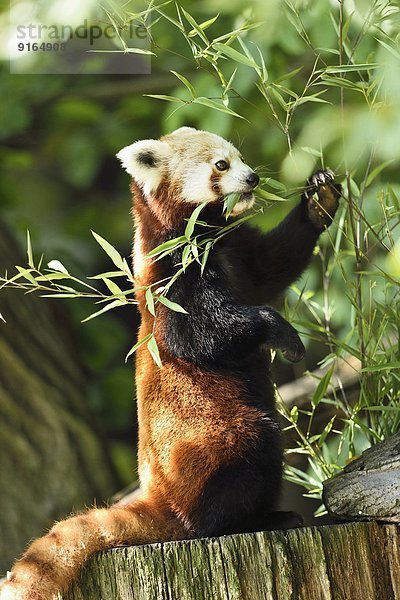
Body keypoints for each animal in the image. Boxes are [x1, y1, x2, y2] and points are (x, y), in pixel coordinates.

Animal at [0, 126, 340, 600]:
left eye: (240, 157)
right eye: (221, 165)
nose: (253, 178)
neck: (203, 236)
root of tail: (159, 497)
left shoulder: (237, 250)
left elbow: (273, 265)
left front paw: (319, 199)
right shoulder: (173, 281)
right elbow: (207, 336)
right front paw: (281, 332)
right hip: (213, 442)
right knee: (246, 460)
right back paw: (257, 519)